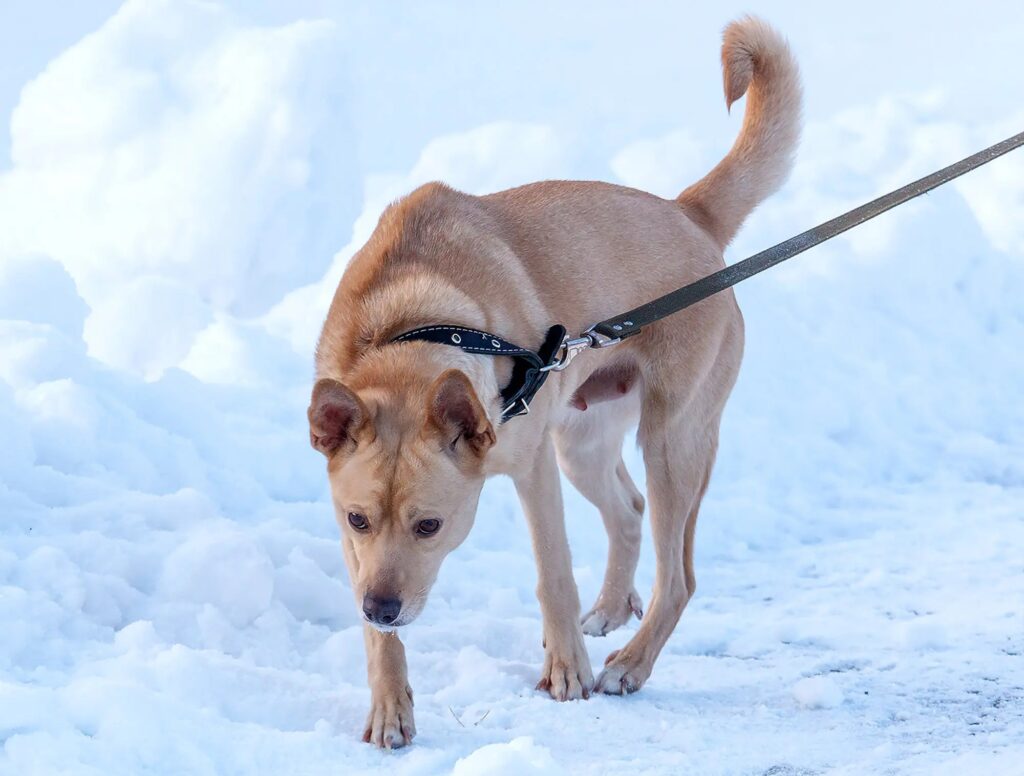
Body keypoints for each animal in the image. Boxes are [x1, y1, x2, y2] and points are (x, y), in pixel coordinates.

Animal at [307, 16, 802, 749]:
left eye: (430, 525)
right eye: (358, 519)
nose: (382, 607)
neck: (415, 325)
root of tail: (687, 214)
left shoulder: (533, 467)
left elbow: (552, 576)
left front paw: (568, 673)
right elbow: (381, 644)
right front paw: (390, 706)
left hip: (670, 442)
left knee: (678, 576)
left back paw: (627, 663)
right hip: (585, 444)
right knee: (628, 511)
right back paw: (611, 608)